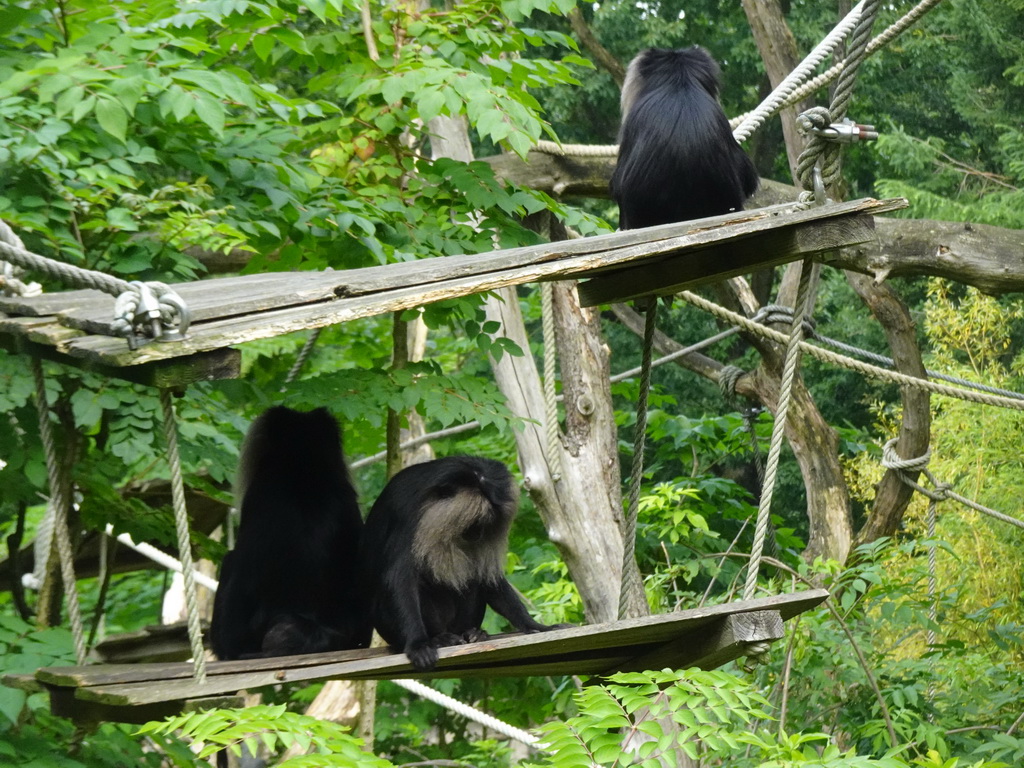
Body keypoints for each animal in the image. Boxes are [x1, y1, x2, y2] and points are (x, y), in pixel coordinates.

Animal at [362, 460, 561, 671]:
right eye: (474, 524)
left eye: (487, 526)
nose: (478, 535)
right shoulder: (407, 517)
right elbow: (400, 579)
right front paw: (418, 644)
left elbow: (489, 578)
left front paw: (536, 626)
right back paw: (440, 638)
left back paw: (472, 634)